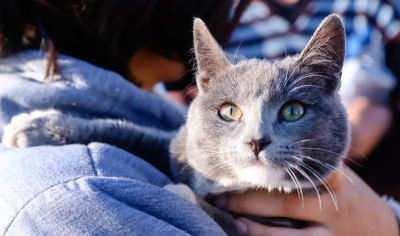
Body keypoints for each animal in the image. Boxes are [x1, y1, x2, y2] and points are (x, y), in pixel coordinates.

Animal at [1, 14, 348, 234]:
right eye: (229, 112)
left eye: (293, 111)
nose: (256, 140)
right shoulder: (178, 148)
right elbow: (135, 133)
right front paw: (34, 126)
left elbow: (229, 223)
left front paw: (181, 194)